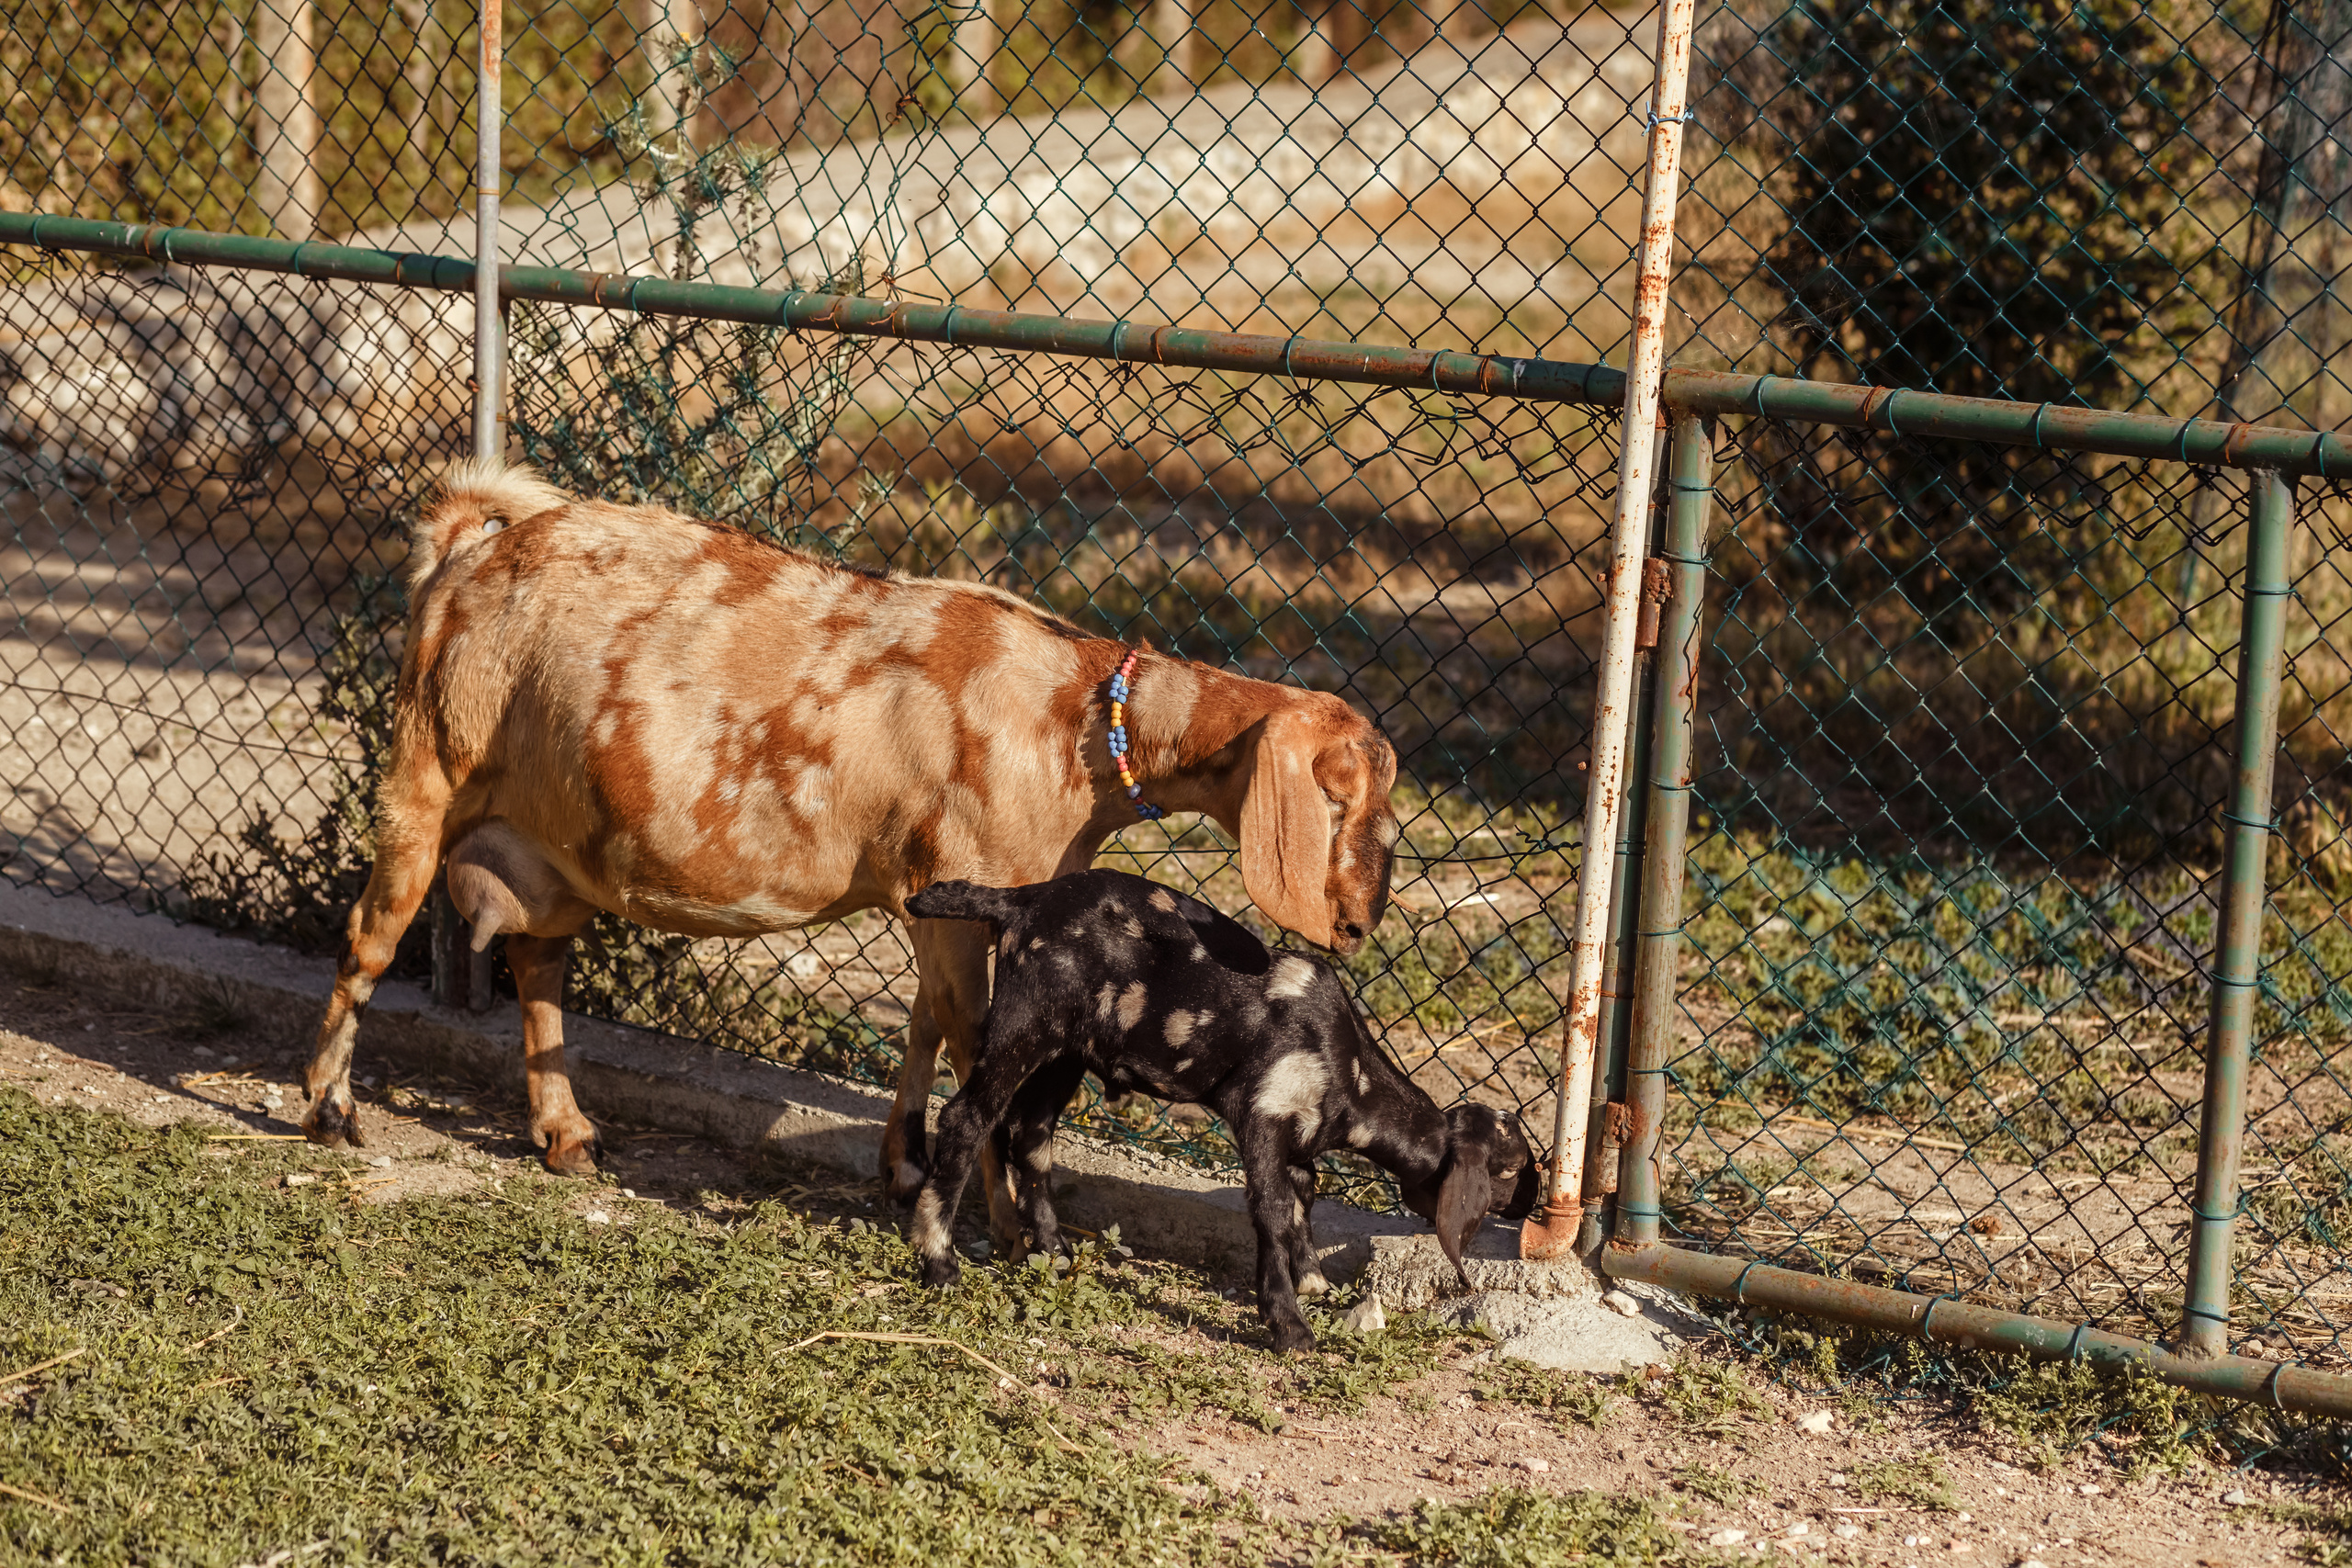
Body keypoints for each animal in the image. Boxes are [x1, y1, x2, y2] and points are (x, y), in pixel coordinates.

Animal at [298, 461, 1401, 1248]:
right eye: (1343, 796)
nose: (1356, 921)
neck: (1076, 717)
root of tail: (466, 549)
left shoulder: (943, 899)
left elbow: (925, 1024)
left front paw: (903, 1169)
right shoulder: (973, 881)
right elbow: (974, 1042)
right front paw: (998, 1221)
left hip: (554, 842)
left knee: (539, 961)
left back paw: (567, 1135)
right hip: (427, 770)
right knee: (368, 937)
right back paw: (328, 1108)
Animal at [902, 869, 1540, 1352]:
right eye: (1510, 1169)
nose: (1529, 1207)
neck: (1348, 1068)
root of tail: (1021, 899)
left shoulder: (1299, 1139)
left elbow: (1304, 1198)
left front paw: (1313, 1282)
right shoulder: (1262, 1112)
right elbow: (1273, 1212)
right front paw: (1288, 1324)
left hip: (1067, 1053)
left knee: (1032, 1135)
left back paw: (1054, 1252)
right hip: (1026, 1023)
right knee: (966, 1120)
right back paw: (939, 1265)